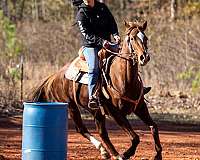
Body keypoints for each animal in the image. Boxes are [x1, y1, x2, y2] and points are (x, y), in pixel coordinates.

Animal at [31, 20, 162, 159]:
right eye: (132, 38)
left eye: (145, 38)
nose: (144, 57)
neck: (123, 78)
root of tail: (55, 76)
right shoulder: (115, 113)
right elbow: (135, 137)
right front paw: (127, 153)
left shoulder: (140, 107)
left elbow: (154, 127)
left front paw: (158, 154)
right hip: (71, 106)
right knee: (82, 129)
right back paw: (114, 154)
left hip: (96, 112)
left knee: (101, 133)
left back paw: (107, 152)